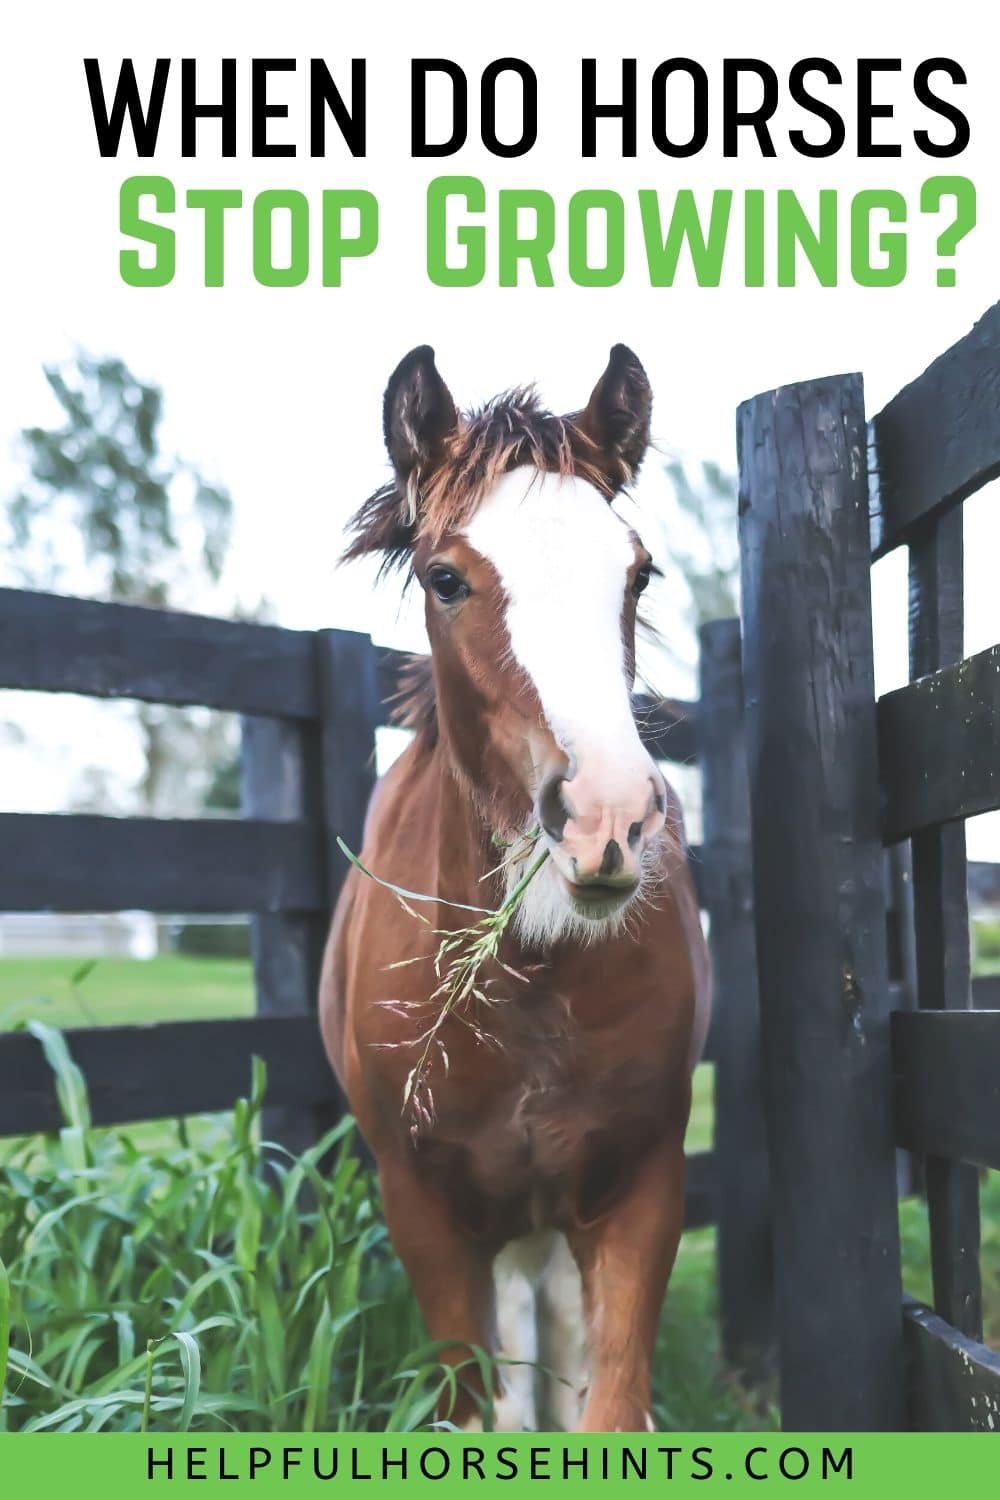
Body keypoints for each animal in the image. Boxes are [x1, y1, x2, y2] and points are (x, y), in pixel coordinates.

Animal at [320, 343, 710, 1432]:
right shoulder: (425, 1209)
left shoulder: (639, 1186)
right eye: (446, 578)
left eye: (638, 574)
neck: (533, 974)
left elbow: (609, 1409)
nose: (607, 820)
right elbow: (476, 1406)